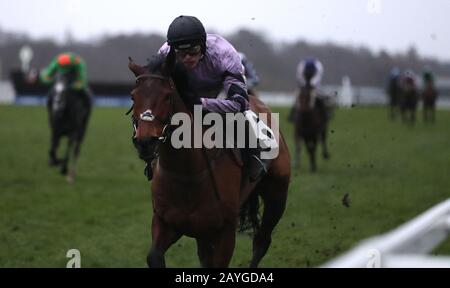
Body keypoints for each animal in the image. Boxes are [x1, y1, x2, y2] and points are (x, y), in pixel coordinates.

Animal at [127, 53, 292, 268]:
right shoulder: (167, 222)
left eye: (167, 96)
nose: (145, 142)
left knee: (262, 241)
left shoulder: (225, 230)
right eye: (133, 96)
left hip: (277, 195)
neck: (186, 173)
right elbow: (154, 256)